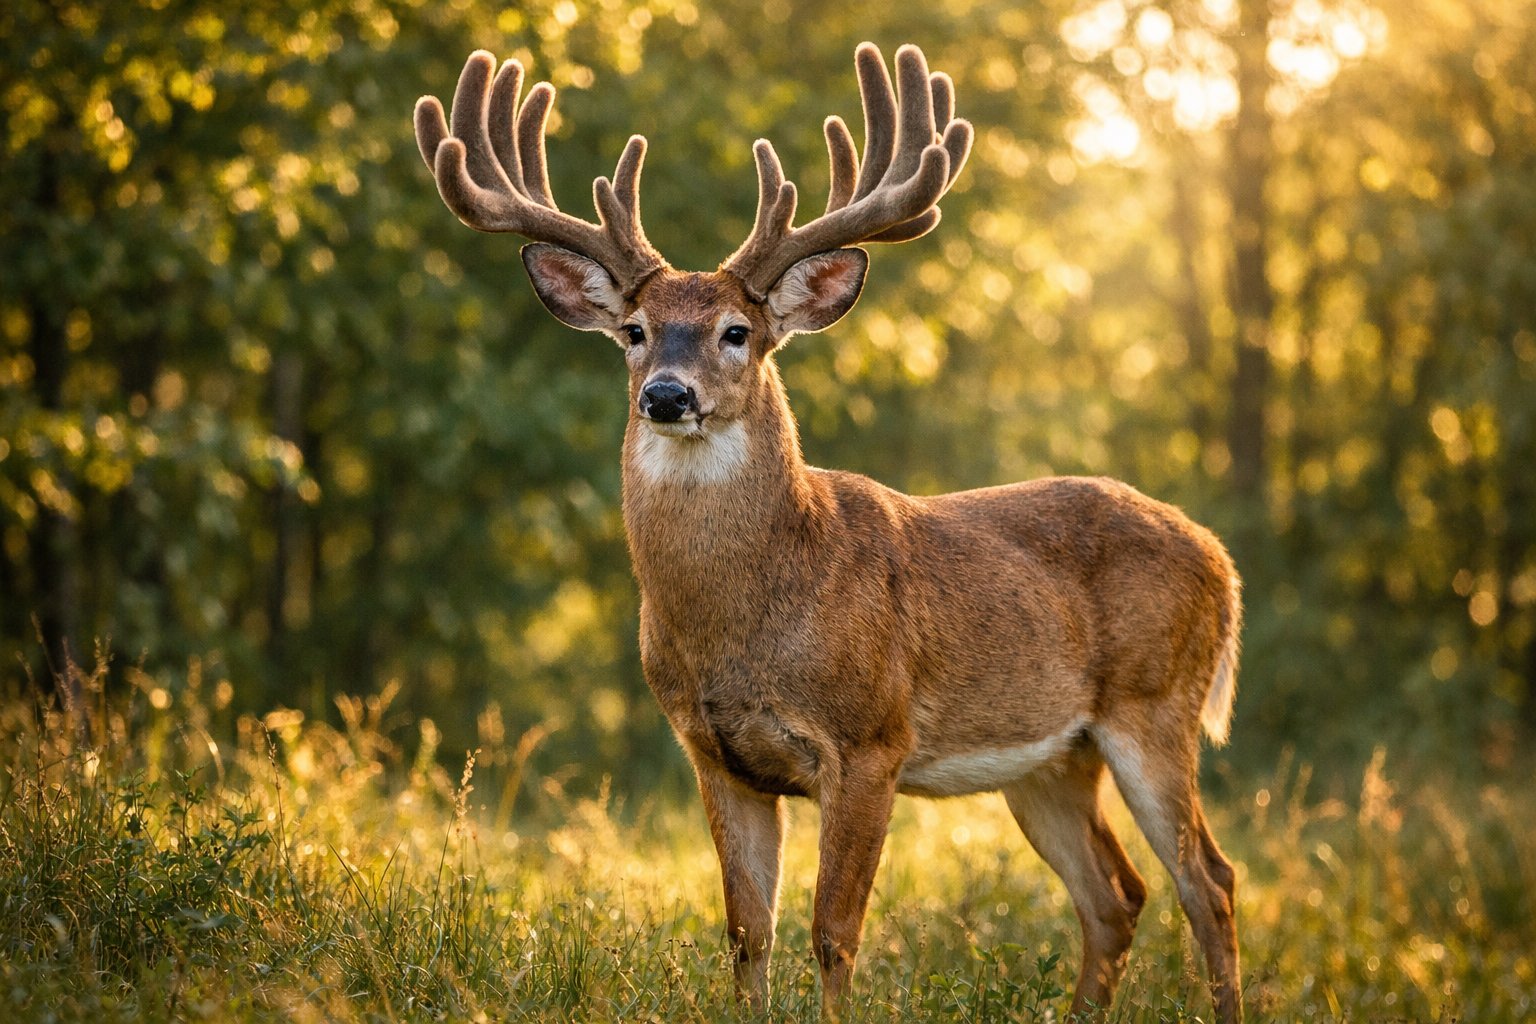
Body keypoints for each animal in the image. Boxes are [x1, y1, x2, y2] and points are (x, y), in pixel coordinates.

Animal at [414, 43, 1244, 1023]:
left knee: (1209, 881)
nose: (667, 395)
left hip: (1156, 705)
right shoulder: (714, 753)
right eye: (635, 331)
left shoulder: (870, 740)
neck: (745, 622)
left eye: (738, 332)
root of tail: (1220, 559)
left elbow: (834, 933)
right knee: (1117, 896)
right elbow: (747, 932)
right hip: (1050, 759)